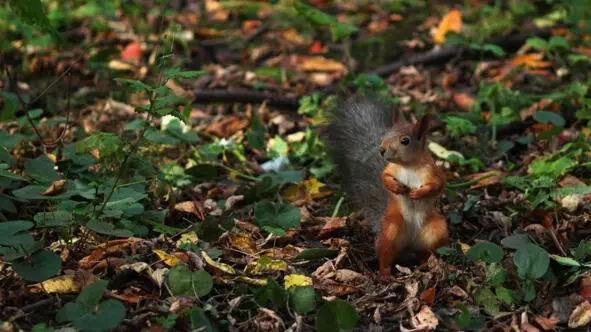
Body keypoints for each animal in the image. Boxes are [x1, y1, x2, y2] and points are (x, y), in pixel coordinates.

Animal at [324, 96, 448, 280]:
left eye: (405, 140)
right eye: (386, 135)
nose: (381, 150)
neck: (409, 166)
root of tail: (410, 242)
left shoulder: (433, 171)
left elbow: (438, 185)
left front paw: (418, 193)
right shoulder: (390, 169)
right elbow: (384, 178)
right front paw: (398, 188)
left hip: (436, 231)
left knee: (426, 253)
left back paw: (427, 266)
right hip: (391, 229)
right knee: (385, 254)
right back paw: (385, 274)